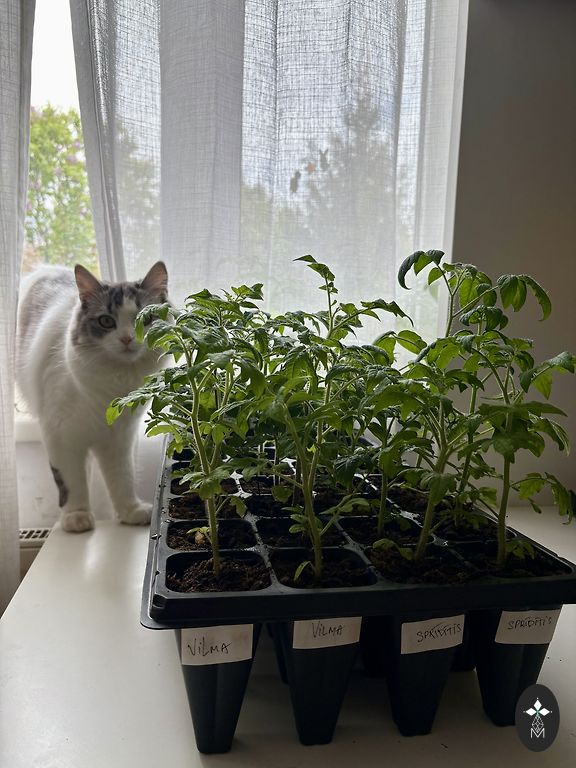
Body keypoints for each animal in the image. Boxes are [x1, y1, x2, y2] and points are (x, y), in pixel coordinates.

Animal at [16, 261, 168, 533]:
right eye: (107, 321)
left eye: (147, 318)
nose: (127, 338)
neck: (114, 384)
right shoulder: (61, 437)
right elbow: (70, 482)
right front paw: (76, 517)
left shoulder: (120, 438)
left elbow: (123, 478)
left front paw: (130, 511)